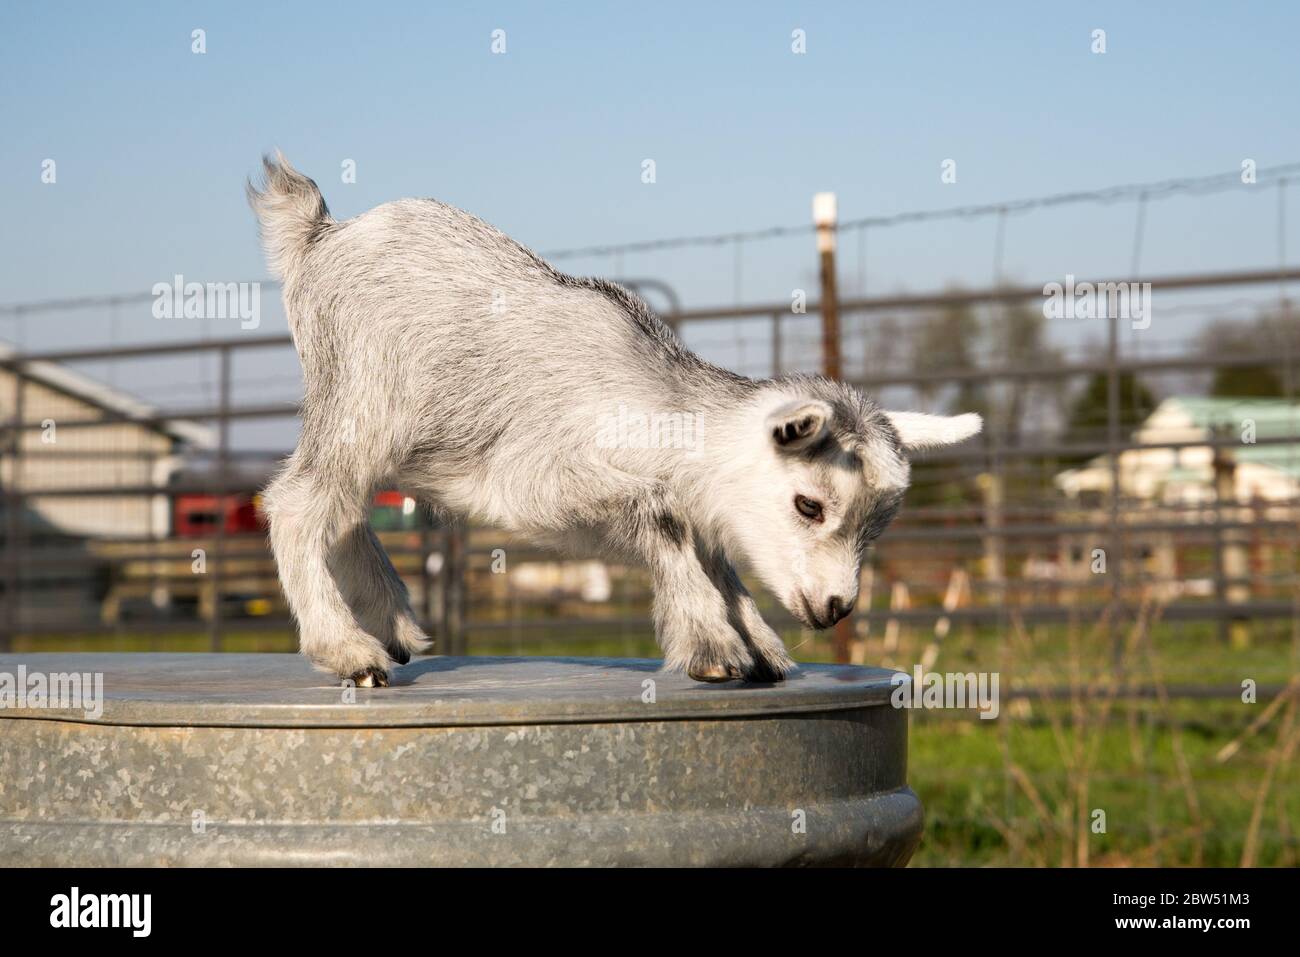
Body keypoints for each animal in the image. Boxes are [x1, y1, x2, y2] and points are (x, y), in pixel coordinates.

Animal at [247, 153, 981, 687]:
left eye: (876, 526)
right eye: (809, 504)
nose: (835, 610)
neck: (661, 406)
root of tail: (320, 233)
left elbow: (715, 551)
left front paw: (761, 644)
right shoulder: (536, 481)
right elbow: (666, 518)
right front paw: (713, 643)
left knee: (341, 508)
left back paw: (392, 625)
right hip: (364, 397)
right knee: (298, 503)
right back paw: (349, 649)